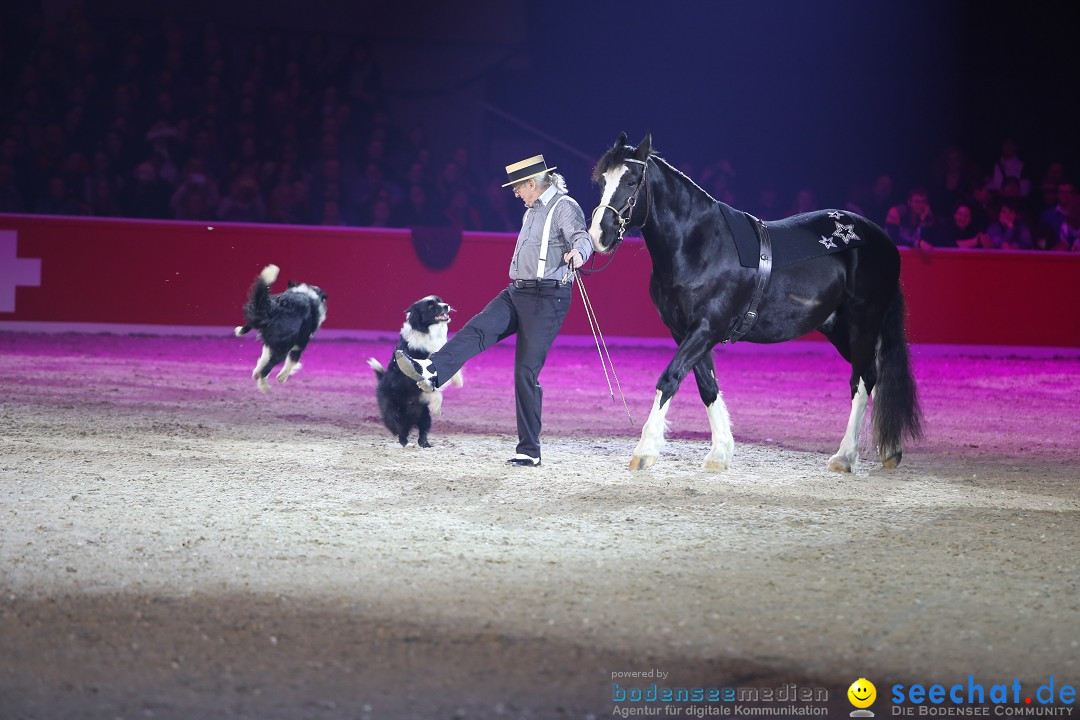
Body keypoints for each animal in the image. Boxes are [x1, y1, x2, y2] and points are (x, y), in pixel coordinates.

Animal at [369, 293, 462, 444]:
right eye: (430, 306)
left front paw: (458, 380)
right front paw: (436, 405)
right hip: (393, 415)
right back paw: (405, 443)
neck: (428, 332)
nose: (446, 306)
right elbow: (432, 388)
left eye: (440, 301)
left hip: (424, 415)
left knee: (422, 432)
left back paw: (425, 444)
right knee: (400, 431)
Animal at [591, 133, 920, 472]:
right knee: (872, 375)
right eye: (602, 180)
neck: (699, 245)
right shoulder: (684, 332)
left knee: (861, 380)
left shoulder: (706, 329)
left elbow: (669, 378)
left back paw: (844, 456)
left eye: (631, 181)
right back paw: (889, 450)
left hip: (862, 324)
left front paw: (645, 451)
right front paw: (720, 453)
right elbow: (707, 386)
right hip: (840, 329)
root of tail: (883, 241)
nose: (599, 234)